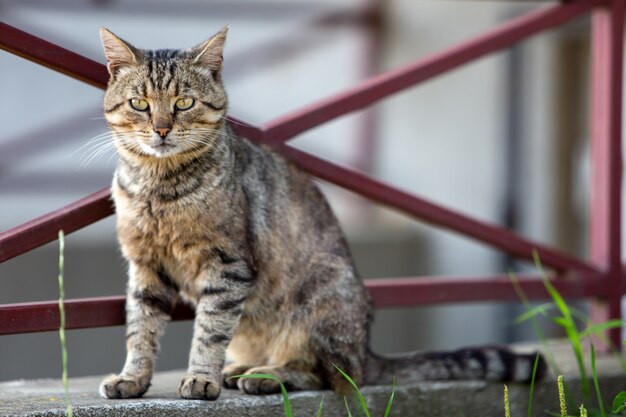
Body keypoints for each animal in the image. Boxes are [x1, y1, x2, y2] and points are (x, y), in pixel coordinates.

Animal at [96, 26, 540, 400]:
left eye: (184, 102)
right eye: (140, 104)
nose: (161, 129)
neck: (159, 186)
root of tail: (366, 350)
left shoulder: (226, 265)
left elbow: (209, 330)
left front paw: (202, 378)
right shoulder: (146, 266)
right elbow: (140, 329)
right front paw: (132, 378)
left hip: (322, 297)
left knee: (331, 374)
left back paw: (266, 375)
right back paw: (241, 367)